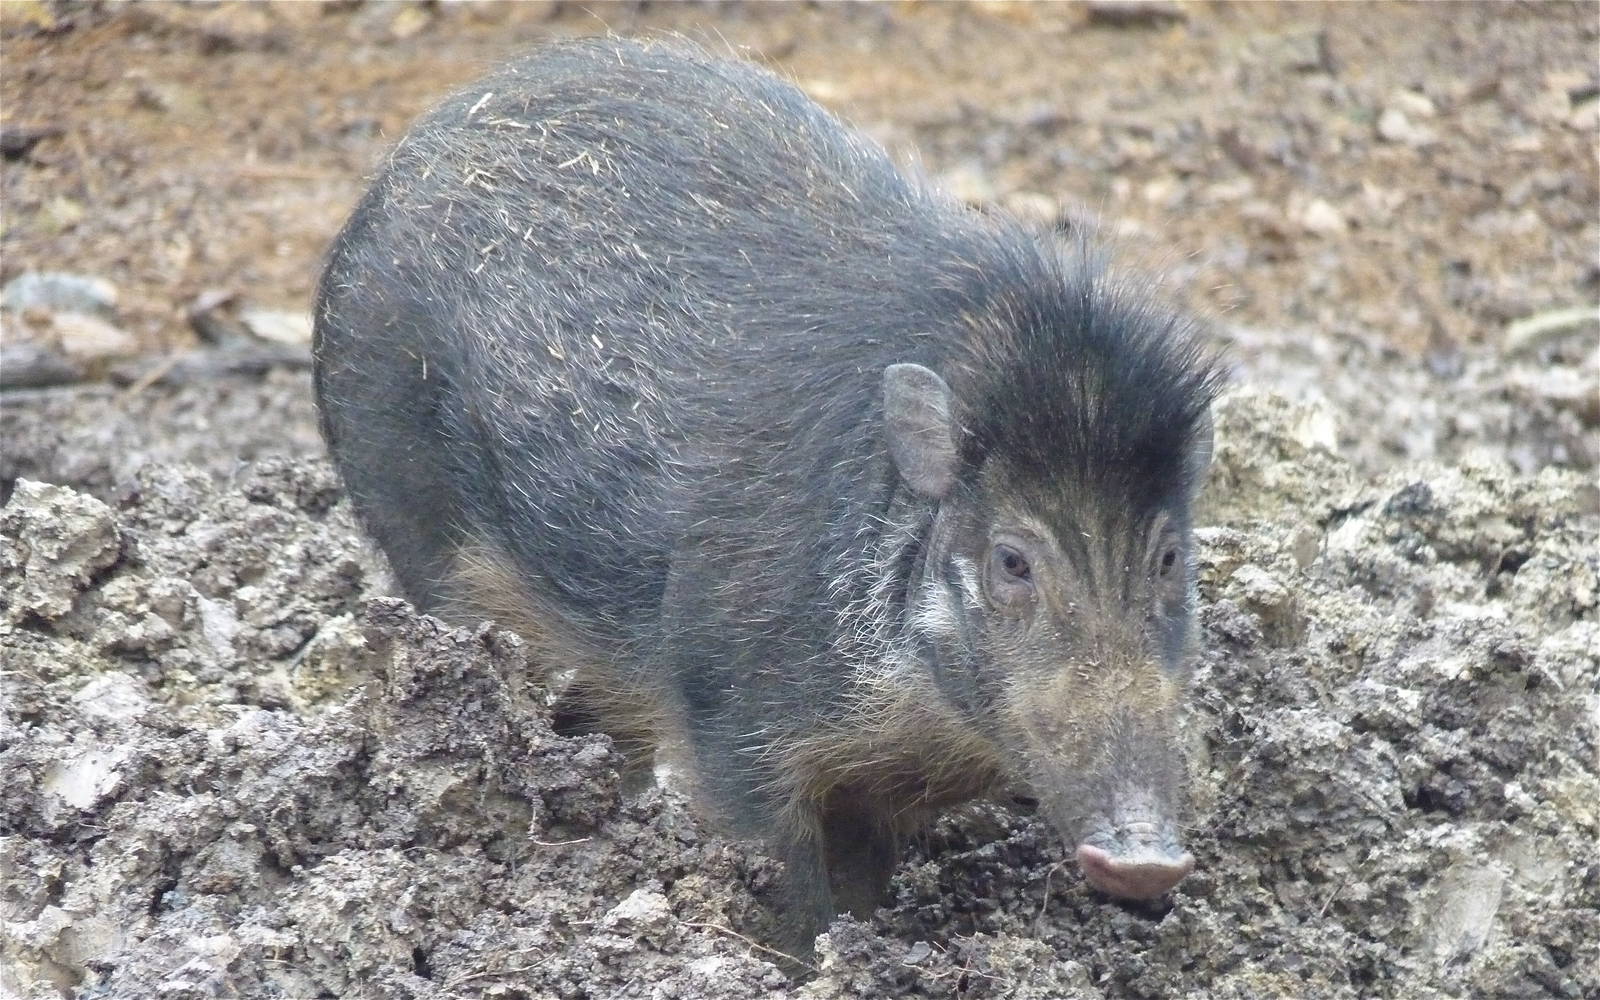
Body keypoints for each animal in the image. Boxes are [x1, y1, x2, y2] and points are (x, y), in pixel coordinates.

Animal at [313, 36, 1222, 949]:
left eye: (1170, 557)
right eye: (1011, 560)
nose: (1148, 861)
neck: (917, 722)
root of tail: (413, 146)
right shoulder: (729, 714)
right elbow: (778, 875)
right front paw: (802, 956)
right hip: (410, 516)